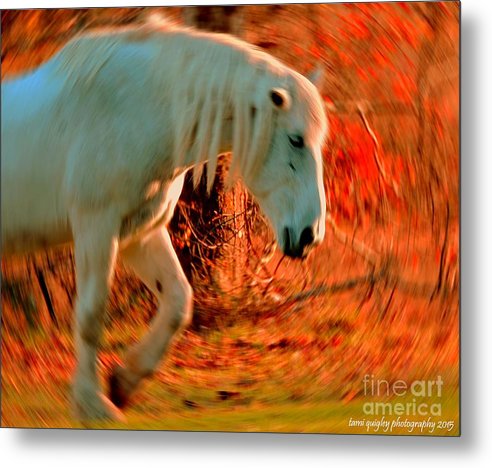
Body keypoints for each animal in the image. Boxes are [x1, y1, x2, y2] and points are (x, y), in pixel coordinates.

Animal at [2, 20, 330, 422]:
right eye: (296, 140)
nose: (310, 234)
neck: (141, 109)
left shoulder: (139, 234)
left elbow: (178, 301)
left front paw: (124, 382)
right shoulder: (96, 228)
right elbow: (91, 315)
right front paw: (92, 404)